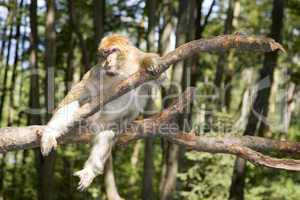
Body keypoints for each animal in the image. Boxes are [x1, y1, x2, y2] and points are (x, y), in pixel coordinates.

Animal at [40, 34, 162, 191]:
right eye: (105, 53)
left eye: (113, 50)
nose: (108, 61)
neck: (121, 69)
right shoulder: (97, 71)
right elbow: (80, 90)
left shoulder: (135, 56)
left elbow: (159, 76)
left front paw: (150, 61)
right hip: (91, 116)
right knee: (75, 105)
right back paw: (50, 134)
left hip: (104, 123)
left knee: (107, 134)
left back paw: (90, 171)